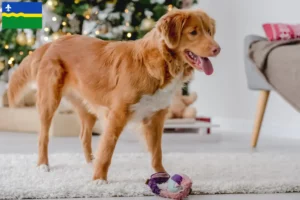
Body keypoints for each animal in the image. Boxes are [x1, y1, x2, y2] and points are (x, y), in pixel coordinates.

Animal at [7, 9, 220, 183]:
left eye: (209, 32)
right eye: (193, 32)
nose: (218, 49)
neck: (157, 64)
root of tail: (55, 41)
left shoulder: (156, 117)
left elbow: (156, 152)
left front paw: (162, 175)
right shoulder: (117, 114)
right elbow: (107, 149)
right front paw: (99, 180)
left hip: (87, 107)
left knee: (84, 135)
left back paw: (89, 161)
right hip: (49, 101)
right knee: (43, 136)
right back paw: (43, 164)